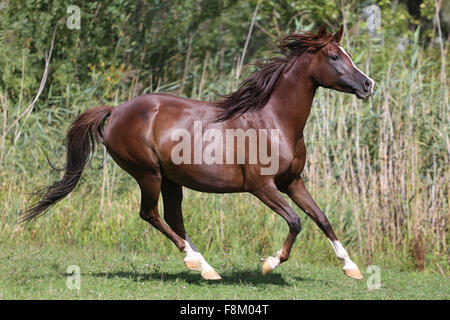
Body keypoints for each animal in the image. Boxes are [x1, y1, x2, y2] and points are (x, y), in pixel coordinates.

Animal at [22, 25, 372, 280]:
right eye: (333, 56)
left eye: (346, 53)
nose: (368, 85)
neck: (274, 120)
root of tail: (116, 110)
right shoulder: (262, 186)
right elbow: (296, 221)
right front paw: (270, 263)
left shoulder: (292, 181)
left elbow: (321, 218)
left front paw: (351, 268)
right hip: (148, 174)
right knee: (150, 214)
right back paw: (195, 262)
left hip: (170, 179)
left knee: (173, 218)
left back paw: (207, 269)